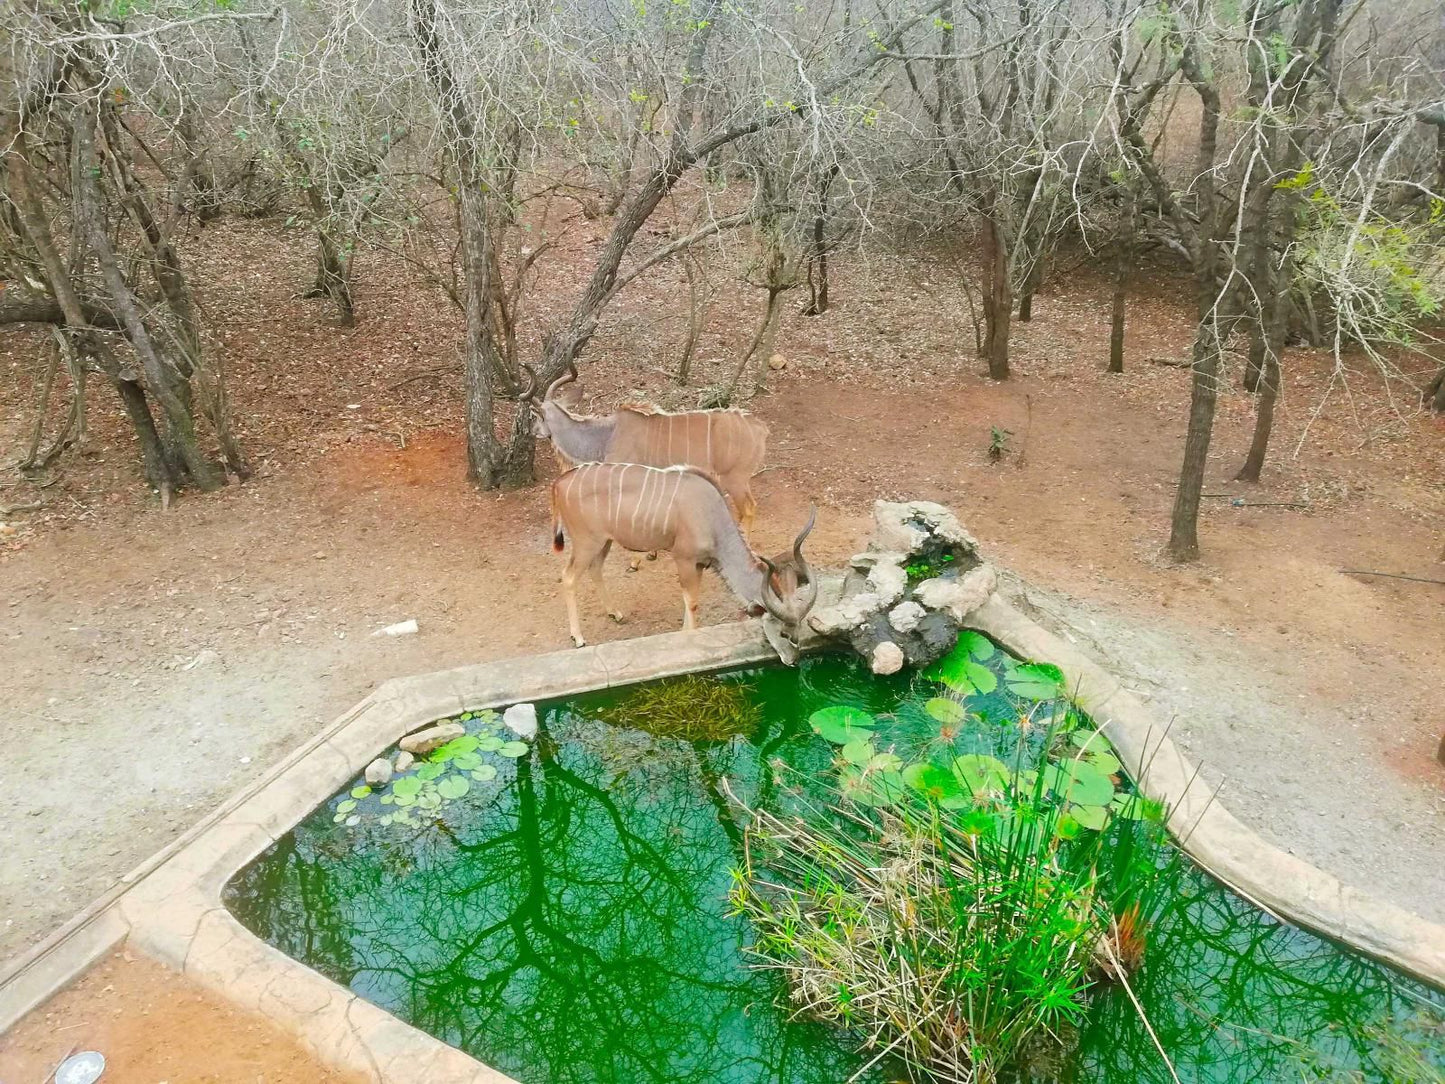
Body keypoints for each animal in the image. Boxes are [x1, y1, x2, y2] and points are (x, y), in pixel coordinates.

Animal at [549, 462, 820, 650]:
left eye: (800, 628)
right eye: (783, 633)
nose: (794, 658)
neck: (712, 516)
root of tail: (560, 482)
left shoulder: (699, 564)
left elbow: (691, 601)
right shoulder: (684, 559)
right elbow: (691, 602)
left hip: (604, 542)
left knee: (595, 569)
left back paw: (615, 613)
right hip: (586, 542)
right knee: (568, 577)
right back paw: (578, 638)